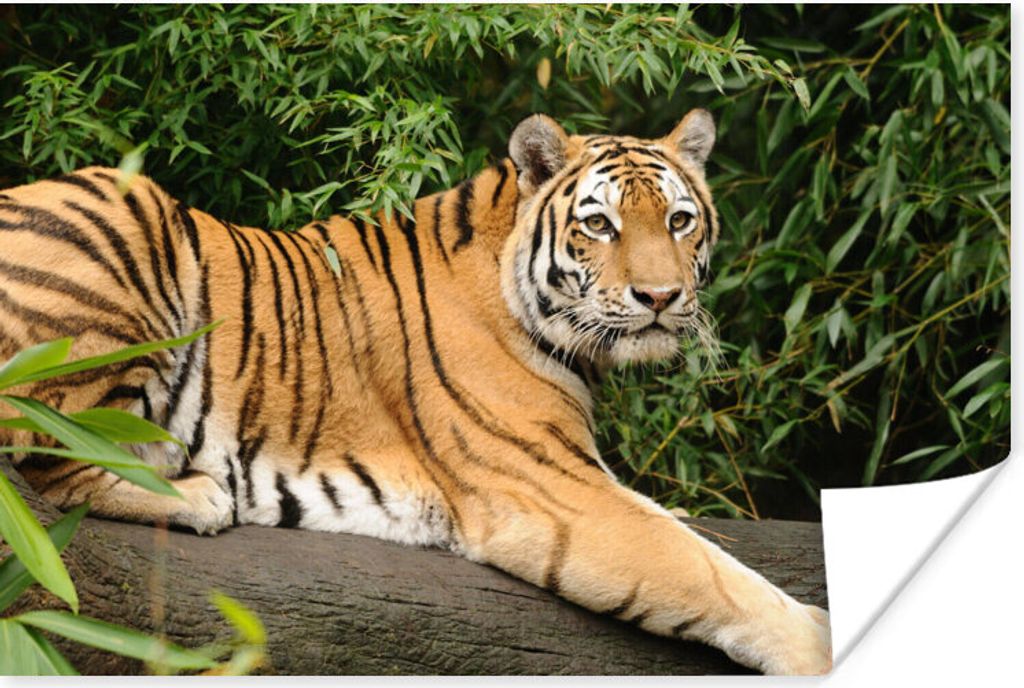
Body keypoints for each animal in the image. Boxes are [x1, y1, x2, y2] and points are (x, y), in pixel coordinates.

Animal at [0, 109, 831, 675]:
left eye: (681, 220)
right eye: (599, 225)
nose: (661, 298)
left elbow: (685, 533)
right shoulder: (548, 486)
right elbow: (709, 572)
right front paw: (819, 648)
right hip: (128, 217)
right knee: (47, 459)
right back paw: (196, 494)